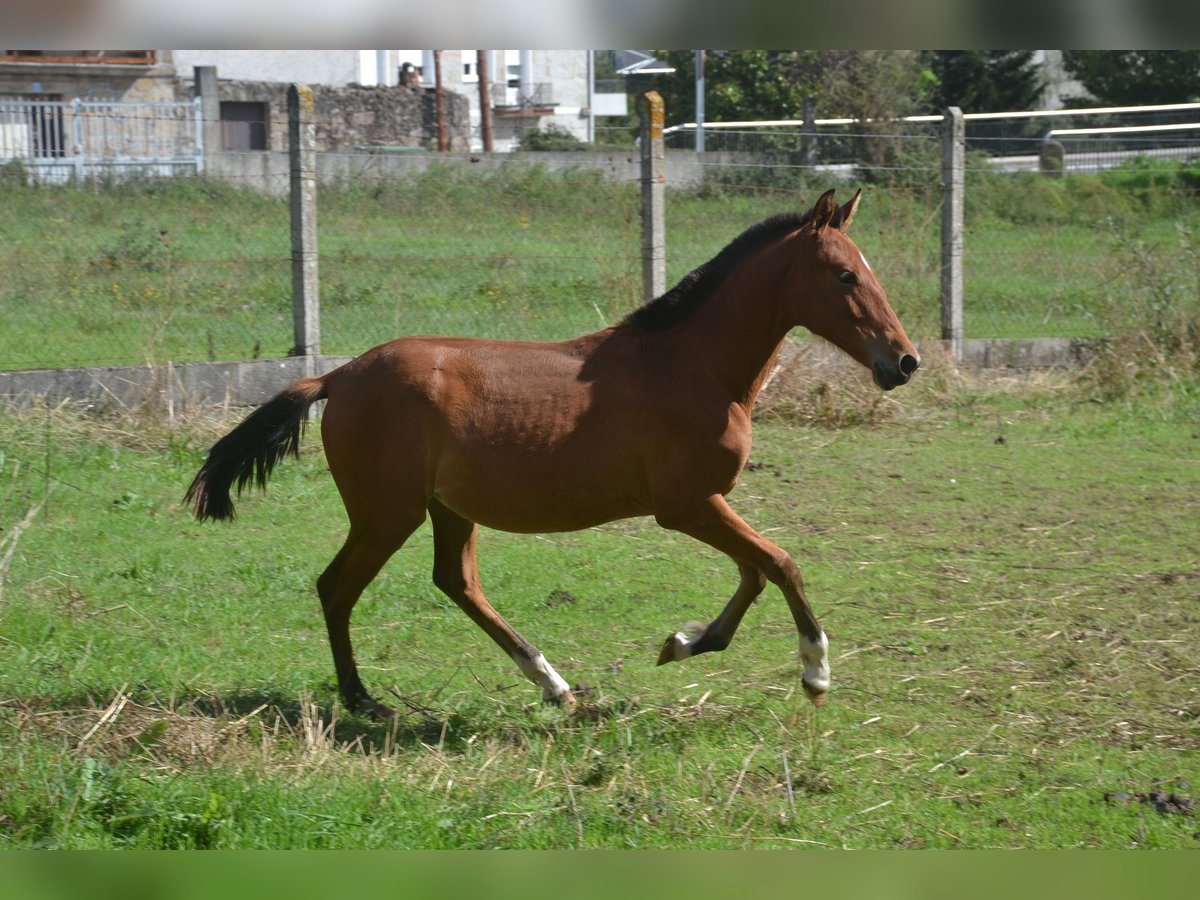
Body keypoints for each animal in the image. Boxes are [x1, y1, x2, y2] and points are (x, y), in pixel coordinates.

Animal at [184, 188, 916, 720]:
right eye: (844, 275)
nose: (904, 362)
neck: (693, 364)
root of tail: (338, 375)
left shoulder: (702, 505)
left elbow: (756, 573)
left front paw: (683, 644)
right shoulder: (686, 505)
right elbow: (781, 563)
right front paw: (815, 672)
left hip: (447, 509)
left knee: (456, 583)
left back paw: (554, 685)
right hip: (387, 513)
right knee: (337, 587)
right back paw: (366, 701)